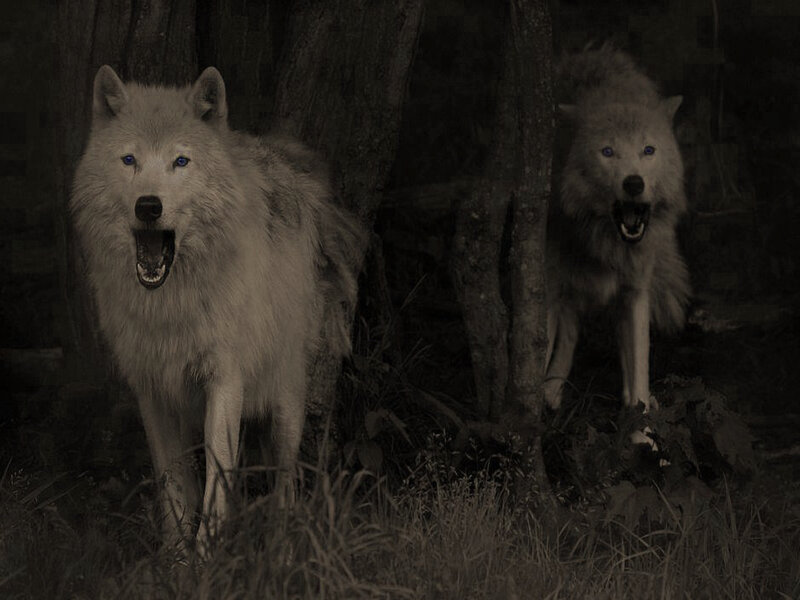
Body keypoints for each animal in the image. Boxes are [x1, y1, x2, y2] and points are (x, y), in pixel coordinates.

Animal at [71, 65, 365, 549]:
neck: (170, 303)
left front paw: (207, 557)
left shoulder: (225, 380)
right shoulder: (152, 390)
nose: (148, 205)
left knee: (284, 483)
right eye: (129, 160)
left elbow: (215, 483)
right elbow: (174, 487)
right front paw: (176, 558)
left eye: (181, 162)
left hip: (286, 397)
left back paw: (279, 548)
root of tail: (281, 157)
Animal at [545, 45, 690, 413]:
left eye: (648, 150)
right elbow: (537, 350)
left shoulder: (636, 293)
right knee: (568, 332)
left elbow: (639, 369)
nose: (634, 183)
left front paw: (642, 422)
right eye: (607, 152)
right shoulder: (548, 287)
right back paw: (551, 392)